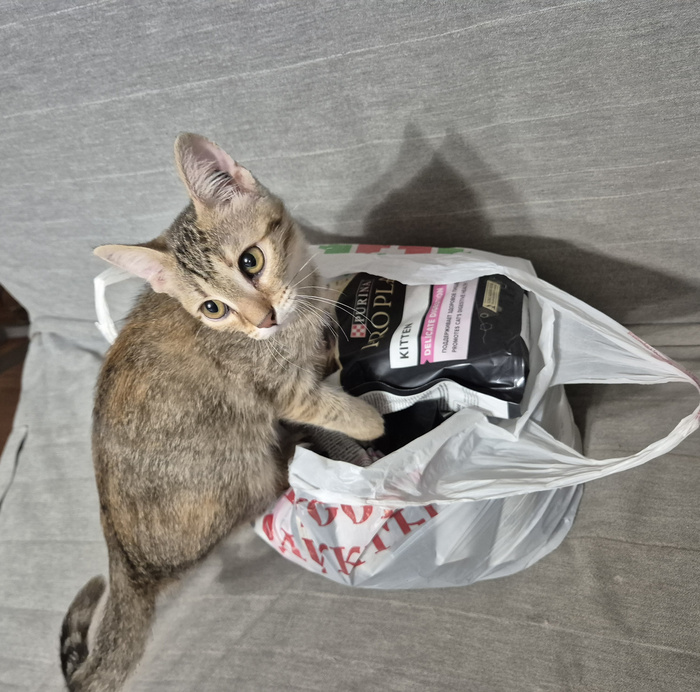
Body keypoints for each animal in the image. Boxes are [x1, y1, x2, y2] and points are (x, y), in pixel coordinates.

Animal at [59, 133, 384, 692]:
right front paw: (370, 419)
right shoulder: (277, 388)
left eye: (250, 261)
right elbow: (320, 402)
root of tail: (125, 562)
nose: (264, 319)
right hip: (243, 465)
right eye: (212, 308)